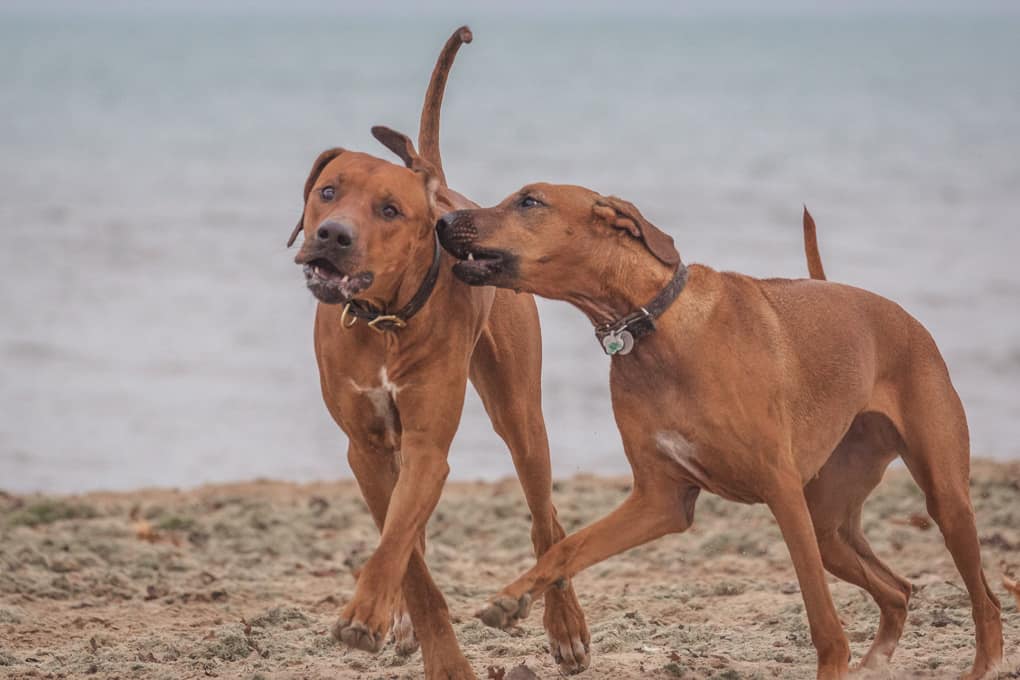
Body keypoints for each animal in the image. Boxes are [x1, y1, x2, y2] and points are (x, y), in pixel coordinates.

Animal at [287, 33, 591, 680]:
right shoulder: (367, 449)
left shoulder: (428, 445)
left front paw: (381, 622)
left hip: (520, 418)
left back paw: (566, 627)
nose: (332, 235)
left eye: (389, 211)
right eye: (328, 192)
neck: (384, 320)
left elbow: (399, 539)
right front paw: (403, 625)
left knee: (545, 517)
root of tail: (446, 189)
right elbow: (407, 555)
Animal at [438, 187, 1003, 680]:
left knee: (986, 597)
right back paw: (877, 661)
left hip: (942, 497)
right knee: (899, 589)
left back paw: (984, 663)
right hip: (829, 527)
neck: (652, 326)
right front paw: (512, 597)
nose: (443, 221)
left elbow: (821, 618)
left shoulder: (781, 492)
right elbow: (568, 546)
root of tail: (897, 313)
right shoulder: (660, 500)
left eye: (529, 201)